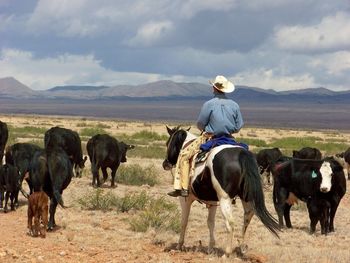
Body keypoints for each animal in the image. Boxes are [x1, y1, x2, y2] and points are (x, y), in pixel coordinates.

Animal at [163, 127, 280, 256]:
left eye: (168, 143)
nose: (165, 164)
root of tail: (241, 154)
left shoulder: (186, 199)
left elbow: (184, 221)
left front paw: (179, 245)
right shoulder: (212, 201)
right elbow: (210, 222)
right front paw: (210, 248)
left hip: (225, 199)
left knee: (230, 223)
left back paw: (227, 253)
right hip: (246, 197)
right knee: (248, 216)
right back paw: (241, 246)